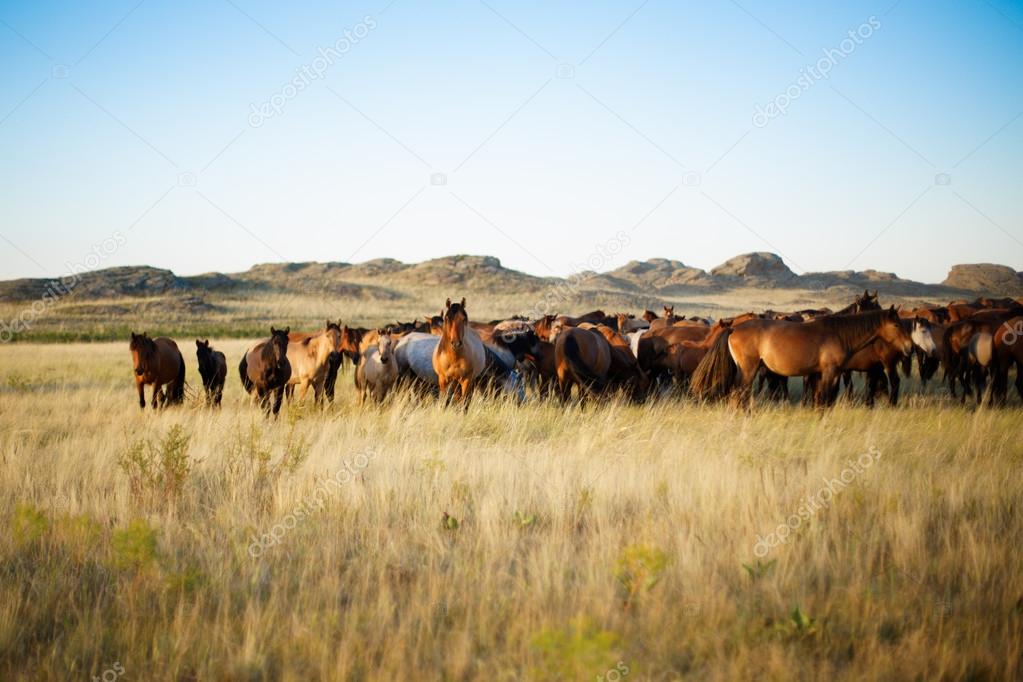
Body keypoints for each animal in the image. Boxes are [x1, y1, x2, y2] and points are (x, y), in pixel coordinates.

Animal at [691, 308, 916, 408]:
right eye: (896, 325)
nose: (910, 347)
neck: (839, 334)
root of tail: (733, 328)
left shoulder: (827, 374)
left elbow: (823, 399)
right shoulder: (829, 372)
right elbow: (824, 399)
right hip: (748, 369)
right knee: (740, 394)